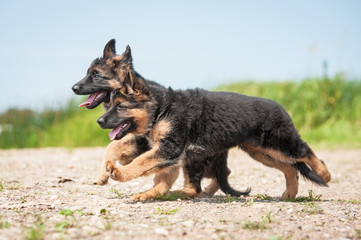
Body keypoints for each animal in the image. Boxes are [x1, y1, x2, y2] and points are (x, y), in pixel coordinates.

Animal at [72, 39, 235, 201]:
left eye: (96, 75)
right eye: (88, 73)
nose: (74, 88)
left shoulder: (143, 141)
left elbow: (114, 146)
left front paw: (105, 174)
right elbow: (113, 147)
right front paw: (106, 172)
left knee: (206, 181)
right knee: (224, 172)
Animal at [97, 53, 330, 200]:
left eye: (120, 106)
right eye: (110, 105)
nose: (99, 121)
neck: (163, 108)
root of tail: (281, 107)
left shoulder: (169, 148)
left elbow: (141, 162)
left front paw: (118, 172)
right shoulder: (170, 153)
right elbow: (158, 177)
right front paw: (147, 194)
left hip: (280, 144)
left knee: (305, 152)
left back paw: (325, 174)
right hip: (262, 152)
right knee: (290, 167)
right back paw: (290, 194)